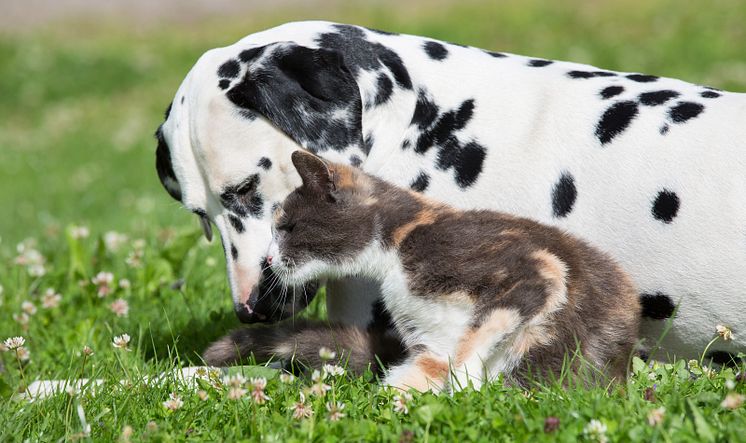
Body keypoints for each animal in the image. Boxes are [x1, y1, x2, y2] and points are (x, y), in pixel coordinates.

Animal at [211, 152, 640, 392]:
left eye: (285, 228)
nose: (268, 260)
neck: (397, 247)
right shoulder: (431, 344)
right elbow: (412, 379)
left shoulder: (533, 266)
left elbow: (478, 334)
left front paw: (467, 386)